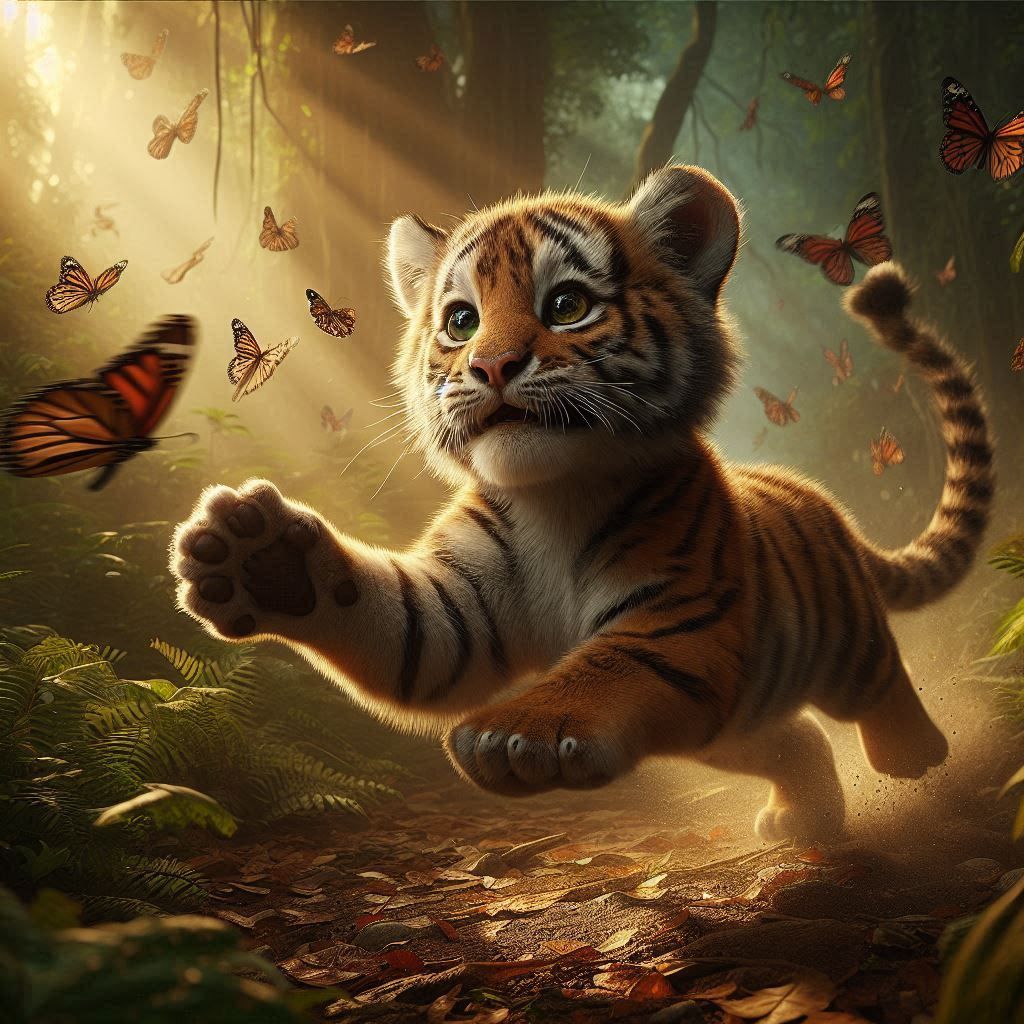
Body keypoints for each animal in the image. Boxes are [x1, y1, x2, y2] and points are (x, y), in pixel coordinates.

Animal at [170, 165, 994, 840]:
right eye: (461, 321)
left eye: (566, 305)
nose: (491, 365)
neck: (550, 500)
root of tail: (821, 502)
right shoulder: (453, 611)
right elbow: (394, 621)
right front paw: (258, 557)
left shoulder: (682, 610)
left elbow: (609, 663)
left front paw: (521, 736)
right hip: (732, 726)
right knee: (798, 737)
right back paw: (804, 821)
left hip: (843, 641)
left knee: (880, 677)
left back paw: (917, 754)